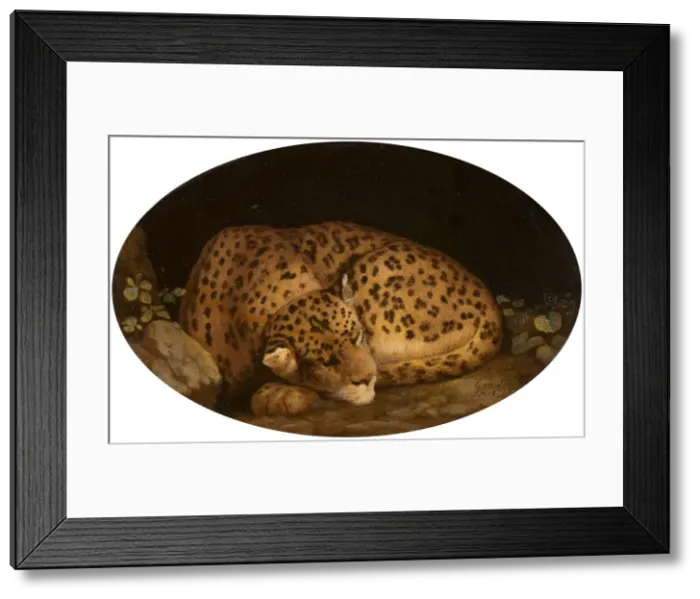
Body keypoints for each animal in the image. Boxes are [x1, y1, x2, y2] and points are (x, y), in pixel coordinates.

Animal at [178, 221, 503, 417]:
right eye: (327, 361)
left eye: (358, 336)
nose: (367, 378)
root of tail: (490, 304)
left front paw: (278, 393)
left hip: (370, 270)